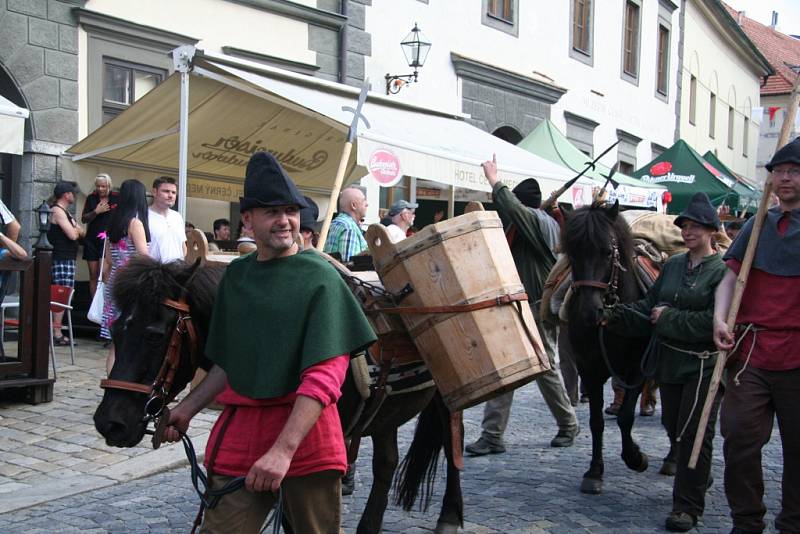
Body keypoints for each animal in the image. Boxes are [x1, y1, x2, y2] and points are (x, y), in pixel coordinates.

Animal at [93, 258, 462, 532]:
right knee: (386, 463)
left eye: (155, 334)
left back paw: (450, 516)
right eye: (115, 329)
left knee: (450, 445)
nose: (109, 422)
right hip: (386, 411)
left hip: (448, 398)